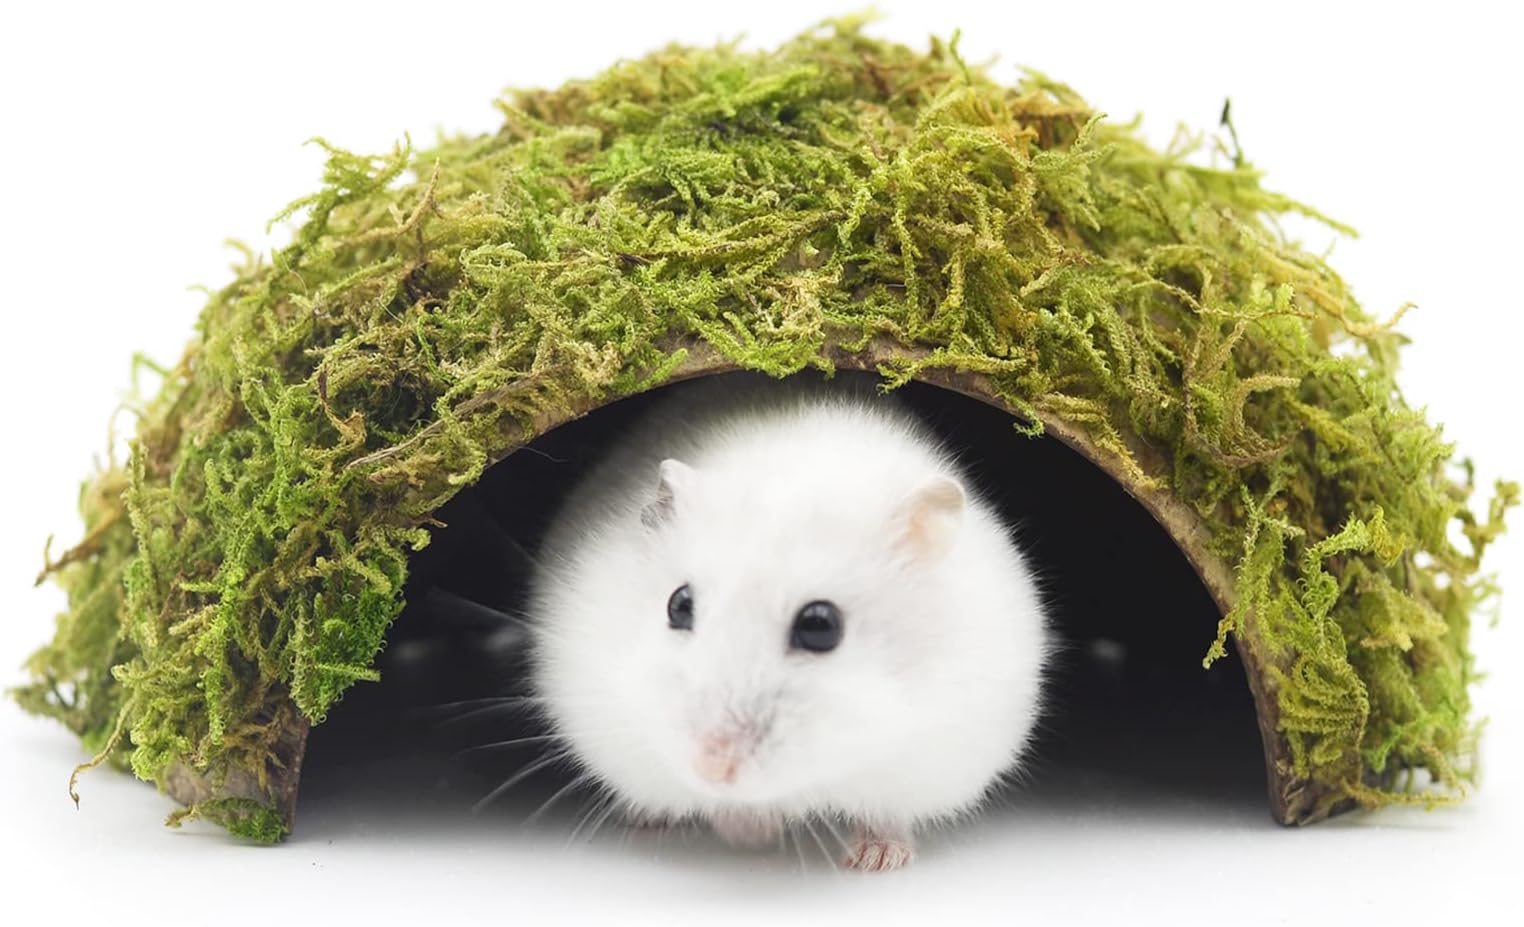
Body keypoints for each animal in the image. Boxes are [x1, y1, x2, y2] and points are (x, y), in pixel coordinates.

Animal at [525, 374, 1050, 872]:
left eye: (821, 626)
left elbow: (885, 813)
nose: (711, 767)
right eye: (678, 606)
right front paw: (753, 833)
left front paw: (876, 859)